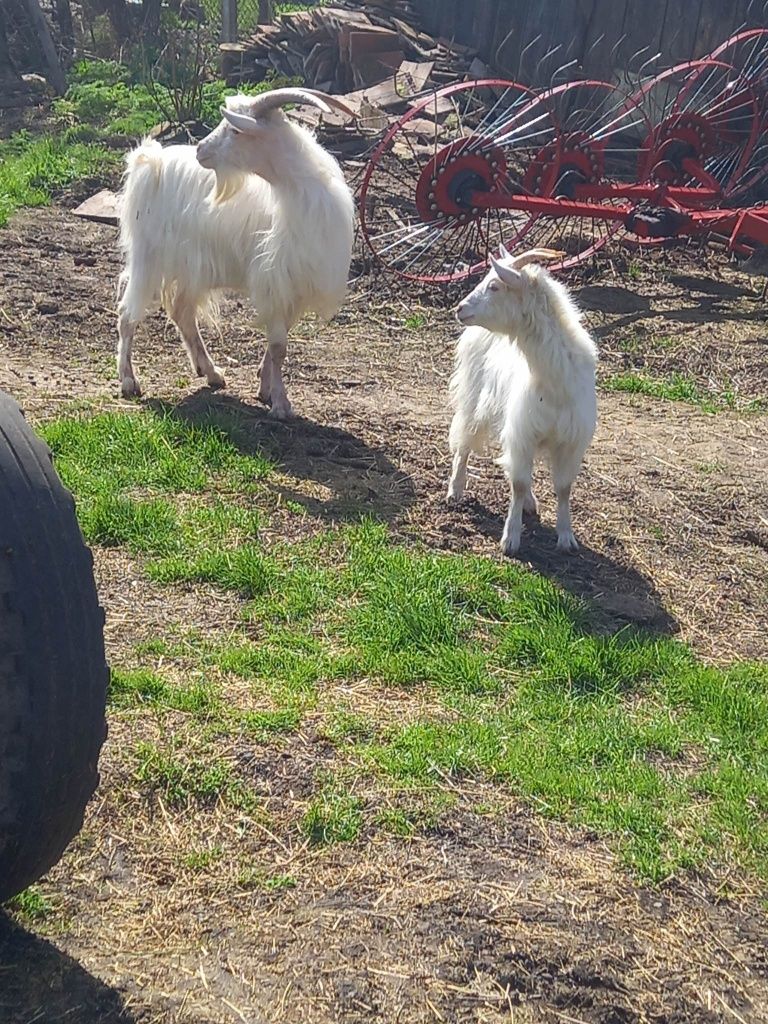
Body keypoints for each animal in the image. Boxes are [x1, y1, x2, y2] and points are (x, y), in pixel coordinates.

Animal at [115, 87, 356, 415]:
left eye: (235, 129)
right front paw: (281, 403)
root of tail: (151, 161)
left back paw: (211, 372)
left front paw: (265, 388)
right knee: (127, 314)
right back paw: (129, 381)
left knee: (182, 312)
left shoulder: (293, 288)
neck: (297, 193)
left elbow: (277, 345)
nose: (201, 150)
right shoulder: (274, 281)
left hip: (191, 267)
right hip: (148, 257)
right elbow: (279, 348)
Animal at [444, 245, 602, 552]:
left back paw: (529, 501)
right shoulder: (522, 430)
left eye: (495, 286)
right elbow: (516, 483)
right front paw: (511, 539)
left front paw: (566, 537)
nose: (460, 309)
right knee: (464, 440)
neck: (554, 382)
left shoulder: (570, 441)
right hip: (474, 396)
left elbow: (563, 488)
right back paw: (455, 488)